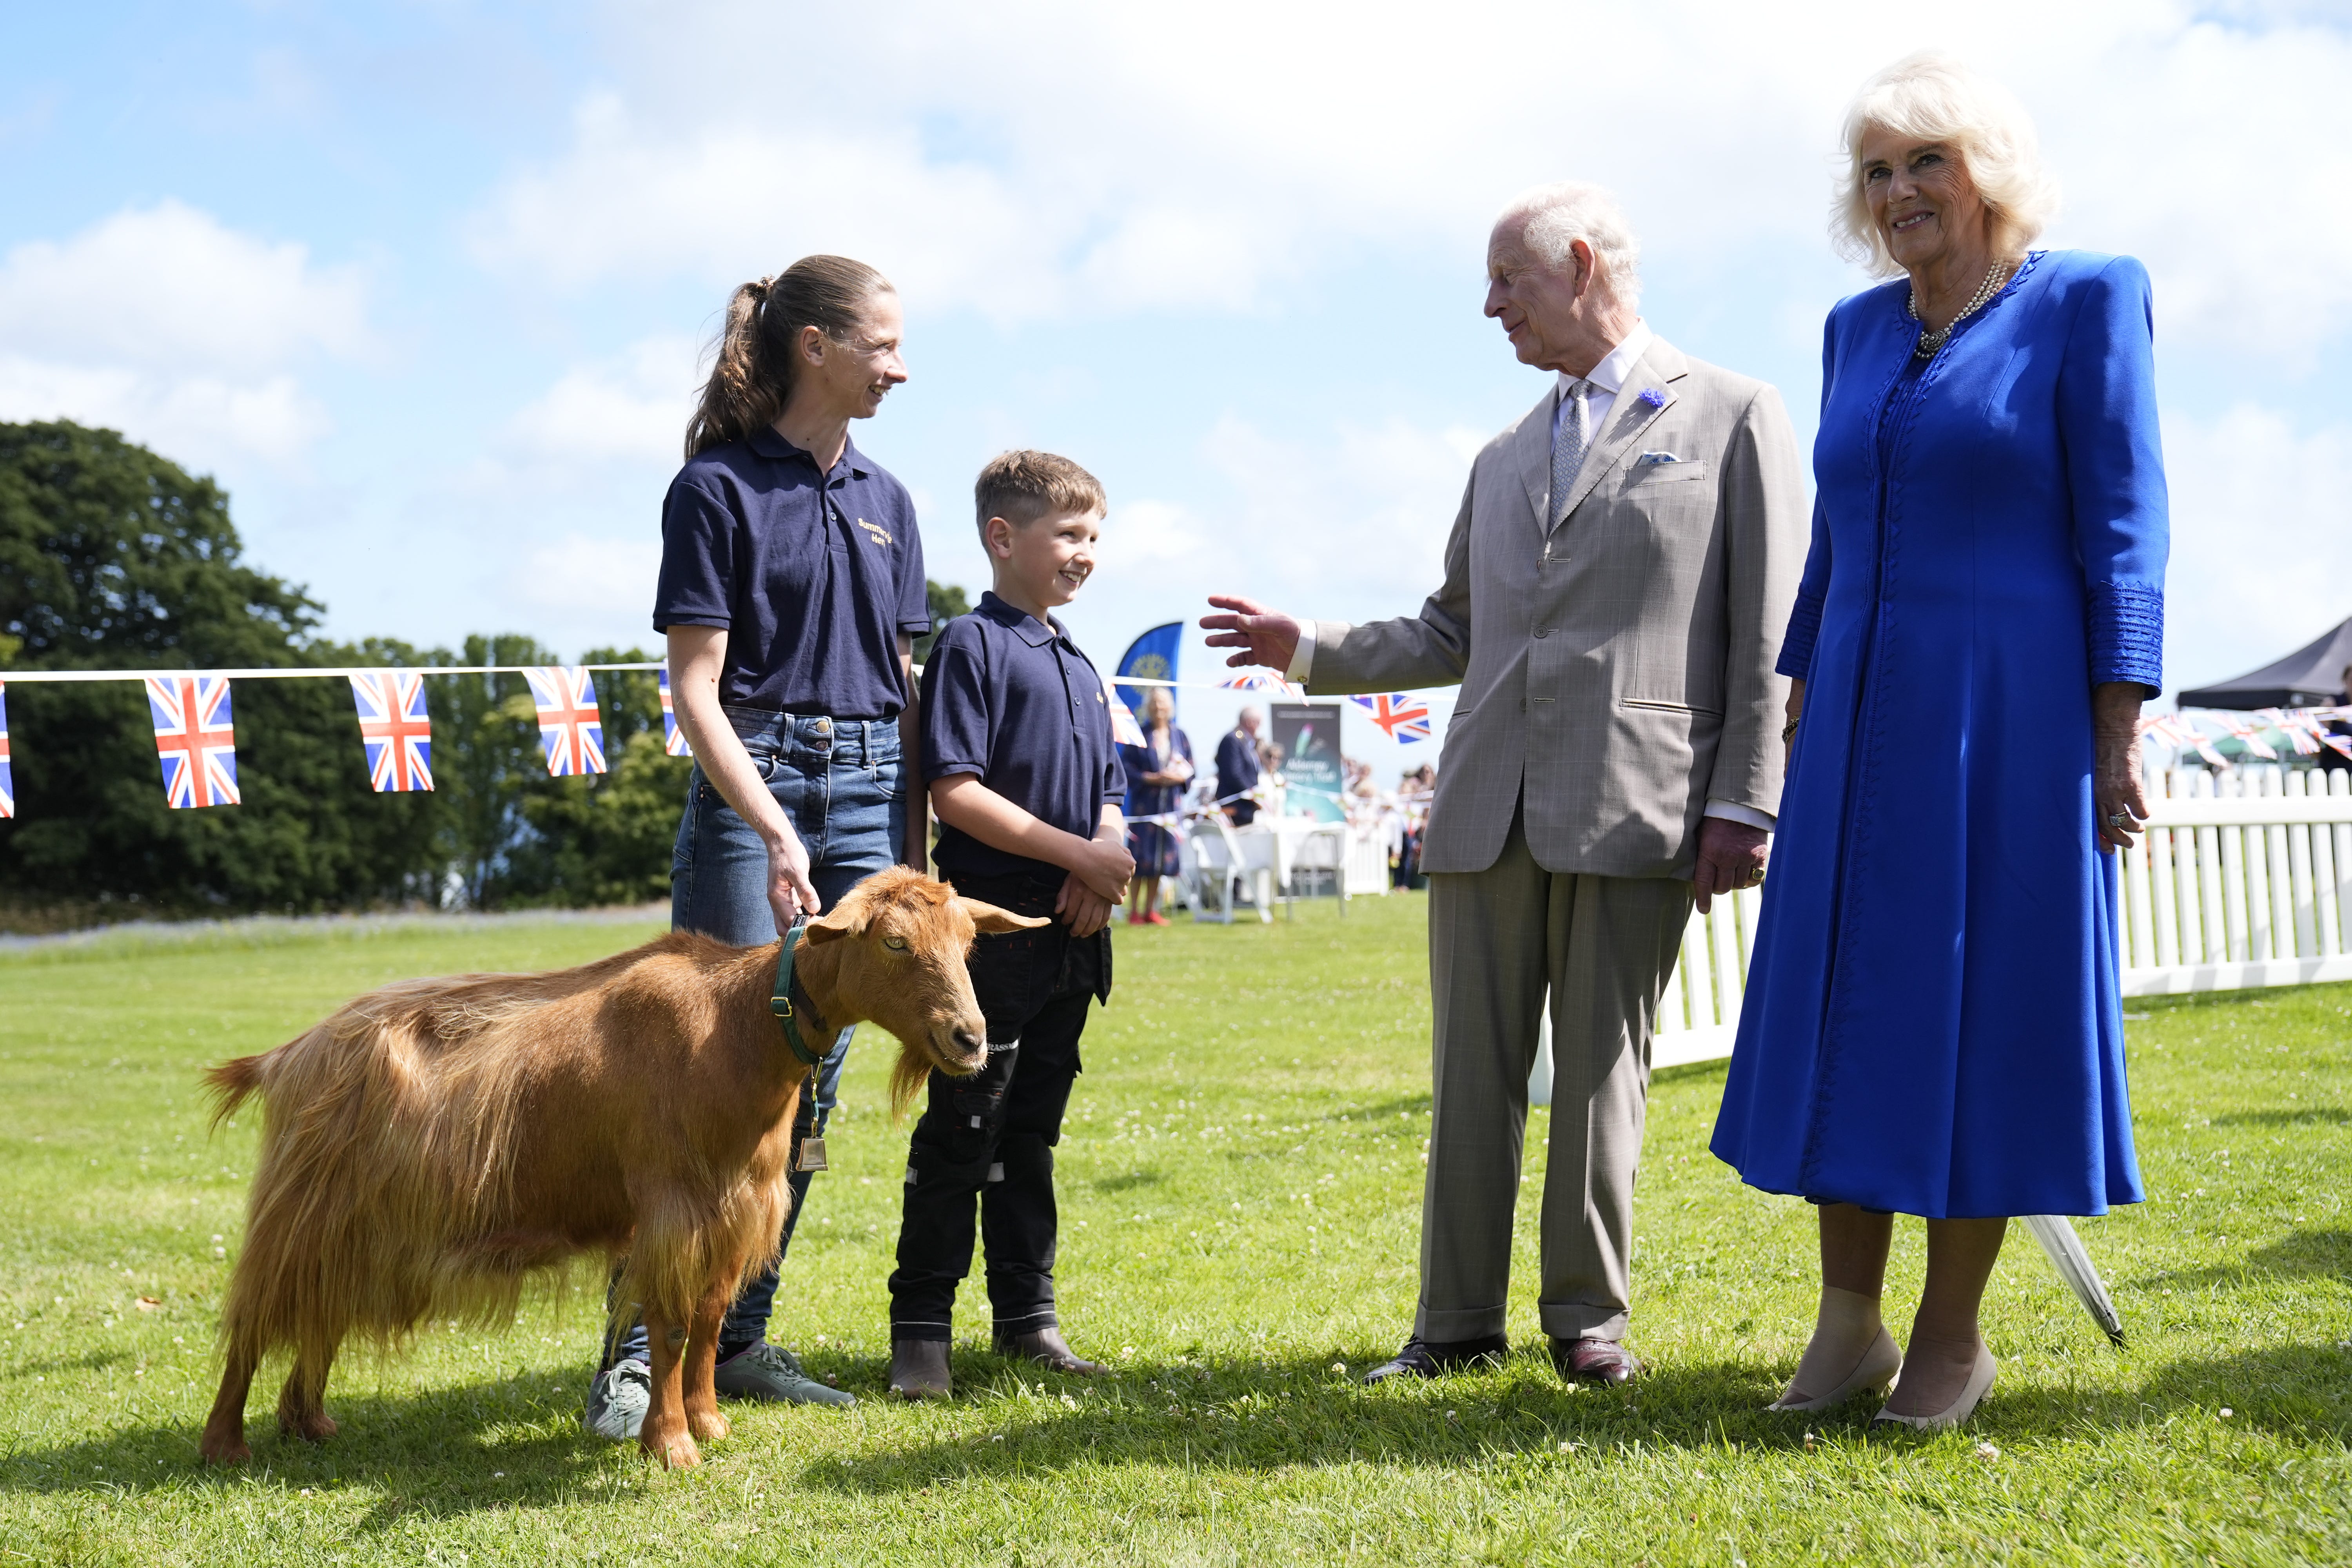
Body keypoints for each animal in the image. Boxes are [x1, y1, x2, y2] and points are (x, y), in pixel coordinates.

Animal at [198, 869, 1044, 1476]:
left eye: (969, 940)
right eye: (895, 942)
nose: (970, 1039)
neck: (736, 1027)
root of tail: (288, 1054)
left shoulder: (736, 1210)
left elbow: (710, 1319)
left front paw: (709, 1420)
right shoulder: (671, 1208)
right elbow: (666, 1327)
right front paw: (670, 1444)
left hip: (356, 1222)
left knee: (322, 1310)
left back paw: (309, 1420)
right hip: (301, 1206)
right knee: (258, 1314)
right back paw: (225, 1443)